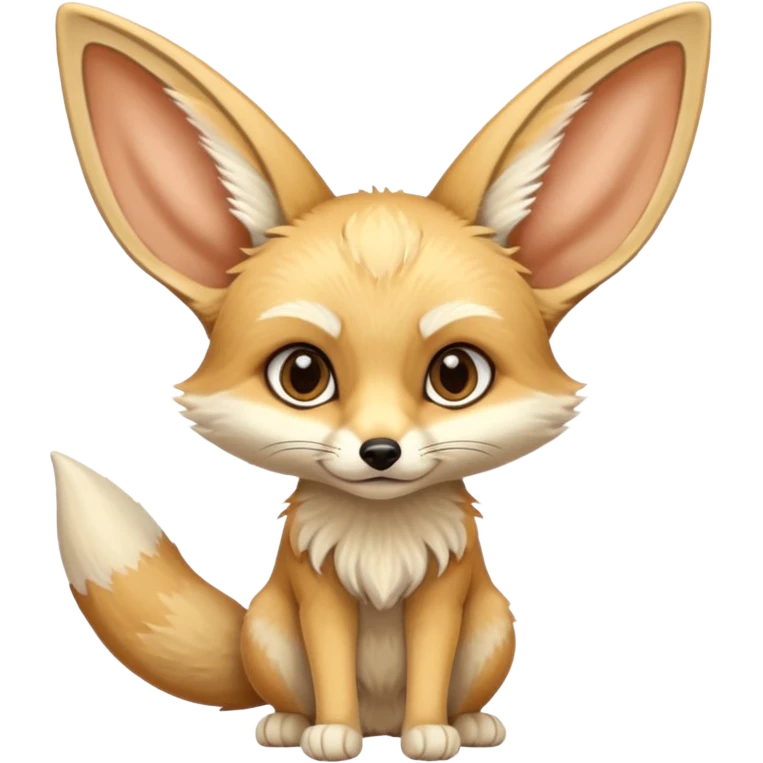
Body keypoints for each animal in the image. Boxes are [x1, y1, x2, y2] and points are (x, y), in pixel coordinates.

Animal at [51, 2, 711, 760]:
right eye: (302, 374)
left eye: (455, 374)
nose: (379, 452)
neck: (381, 539)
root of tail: (381, 720)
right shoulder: (318, 595)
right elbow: (333, 666)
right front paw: (331, 733)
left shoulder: (445, 595)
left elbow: (429, 667)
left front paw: (430, 733)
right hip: (269, 630)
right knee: (290, 690)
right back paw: (292, 723)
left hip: (494, 626)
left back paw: (467, 724)